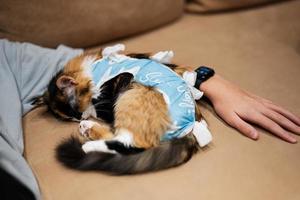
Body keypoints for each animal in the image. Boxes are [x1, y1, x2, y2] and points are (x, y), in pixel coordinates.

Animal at [42, 47, 205, 174]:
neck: (93, 68)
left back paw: (87, 144)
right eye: (71, 117)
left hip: (132, 95)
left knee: (130, 145)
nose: (79, 119)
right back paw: (88, 128)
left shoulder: (105, 101)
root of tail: (191, 128)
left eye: (76, 111)